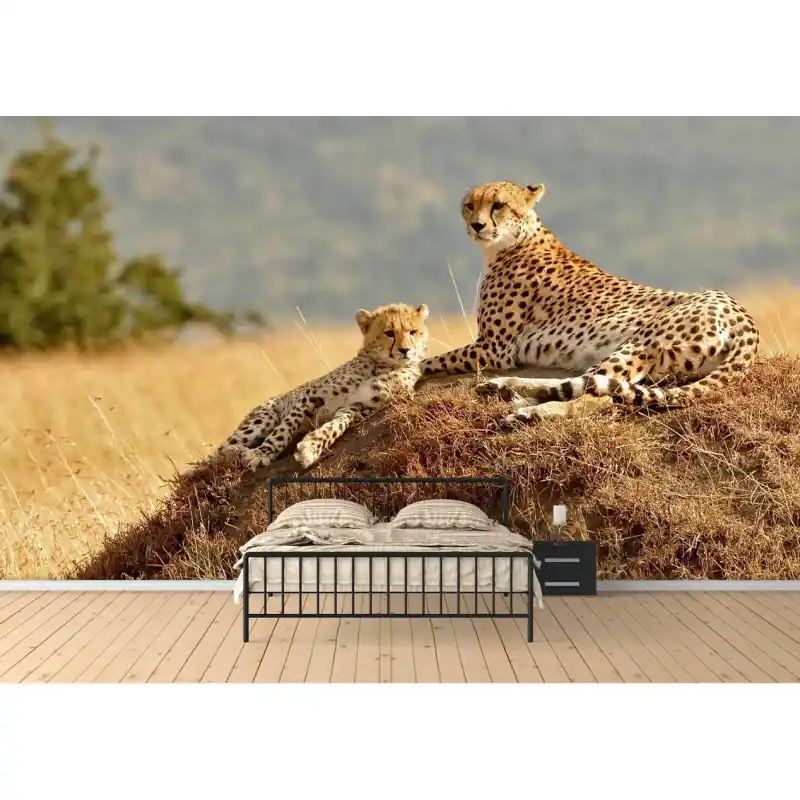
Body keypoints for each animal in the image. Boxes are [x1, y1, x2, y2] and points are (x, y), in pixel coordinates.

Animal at [218, 302, 430, 470]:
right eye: (389, 333)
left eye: (413, 332)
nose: (405, 350)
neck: (383, 366)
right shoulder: (310, 395)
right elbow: (285, 428)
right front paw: (262, 452)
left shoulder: (356, 407)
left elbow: (335, 426)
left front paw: (311, 447)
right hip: (264, 417)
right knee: (220, 450)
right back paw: (237, 450)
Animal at [419, 180, 760, 426]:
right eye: (469, 205)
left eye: (498, 205)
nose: (476, 225)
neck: (516, 240)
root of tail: (742, 314)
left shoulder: (494, 347)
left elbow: (428, 360)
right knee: (586, 383)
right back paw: (508, 390)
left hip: (638, 343)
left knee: (599, 394)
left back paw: (529, 408)